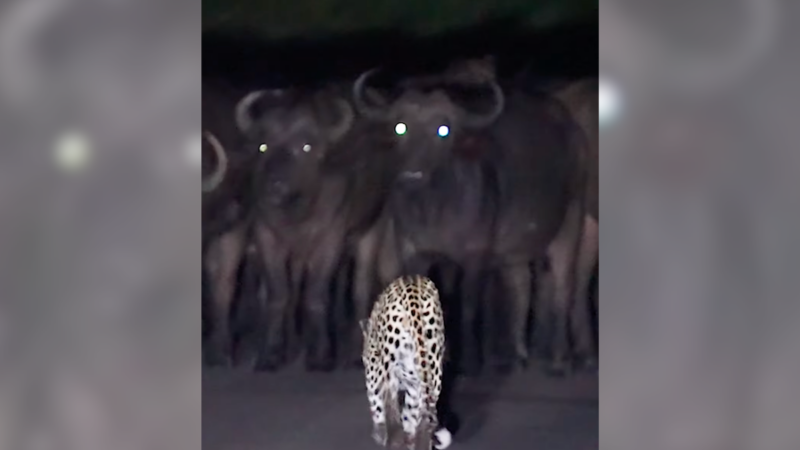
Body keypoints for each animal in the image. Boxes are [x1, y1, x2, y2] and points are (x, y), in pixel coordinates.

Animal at [360, 274, 454, 450]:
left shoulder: (373, 370)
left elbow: (376, 403)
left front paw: (379, 434)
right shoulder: (414, 385)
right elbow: (410, 416)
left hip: (388, 369)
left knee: (391, 410)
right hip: (433, 371)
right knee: (424, 420)